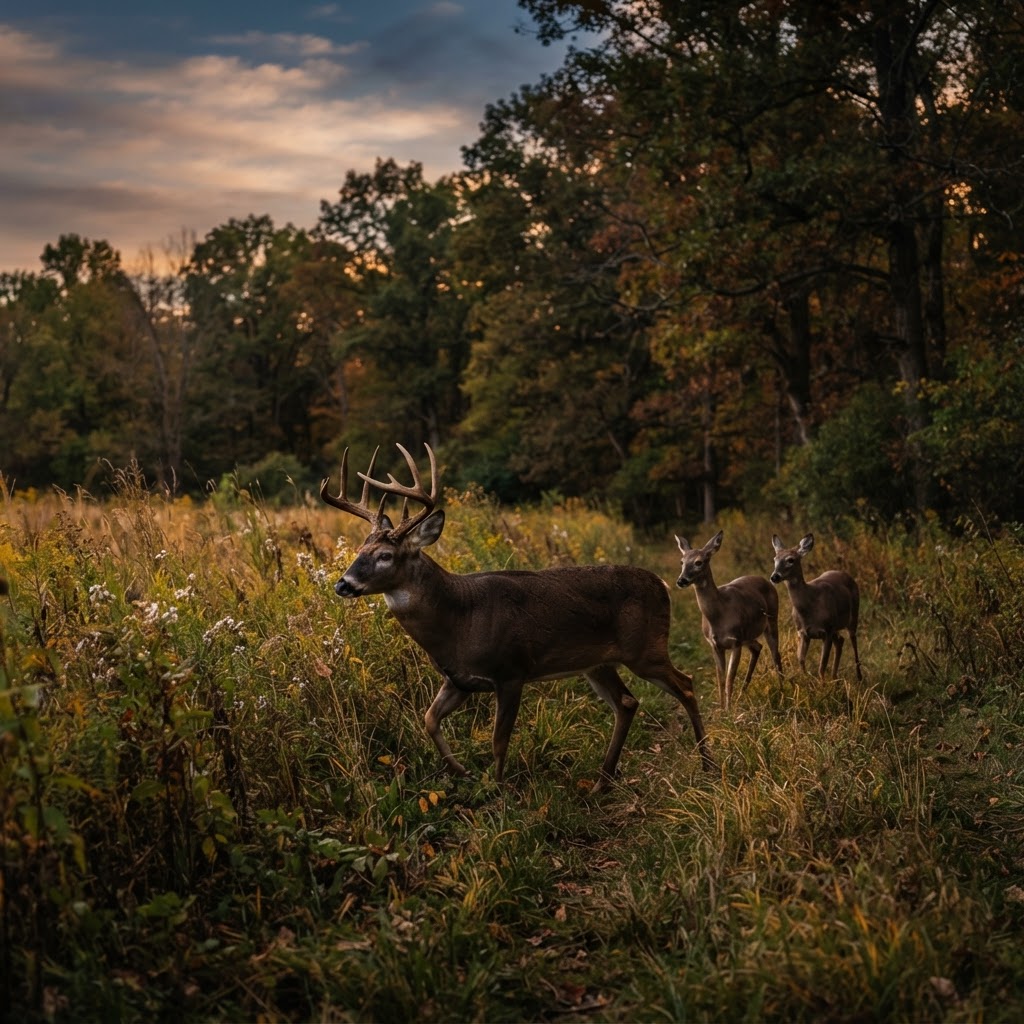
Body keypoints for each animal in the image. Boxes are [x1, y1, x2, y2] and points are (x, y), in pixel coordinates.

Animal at [321, 443, 715, 794]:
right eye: (360, 550)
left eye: (385, 556)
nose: (343, 583)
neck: (459, 619)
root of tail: (662, 584)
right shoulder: (458, 680)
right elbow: (429, 720)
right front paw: (463, 772)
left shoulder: (511, 671)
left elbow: (499, 739)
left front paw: (499, 793)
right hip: (598, 662)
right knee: (627, 703)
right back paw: (601, 782)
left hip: (646, 648)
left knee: (686, 684)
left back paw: (707, 765)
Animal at [675, 531, 783, 710]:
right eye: (682, 562)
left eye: (699, 562)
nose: (681, 580)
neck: (719, 615)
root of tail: (766, 580)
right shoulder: (715, 645)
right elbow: (720, 679)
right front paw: (721, 709)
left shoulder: (735, 642)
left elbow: (729, 679)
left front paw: (729, 709)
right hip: (748, 636)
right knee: (757, 647)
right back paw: (742, 693)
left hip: (772, 620)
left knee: (776, 654)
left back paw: (783, 689)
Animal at [770, 533, 862, 681]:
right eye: (775, 559)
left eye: (791, 560)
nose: (774, 577)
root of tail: (845, 574)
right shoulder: (803, 633)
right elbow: (801, 660)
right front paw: (808, 681)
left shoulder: (827, 631)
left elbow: (822, 666)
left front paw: (822, 685)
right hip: (835, 627)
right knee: (840, 641)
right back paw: (835, 678)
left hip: (853, 615)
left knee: (853, 640)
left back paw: (859, 677)